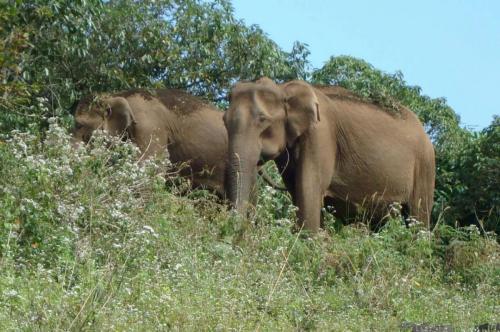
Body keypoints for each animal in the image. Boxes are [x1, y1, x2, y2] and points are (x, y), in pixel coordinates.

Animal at [225, 78, 436, 233]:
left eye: (263, 120)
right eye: (224, 121)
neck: (283, 89)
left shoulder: (321, 135)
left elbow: (309, 189)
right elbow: (298, 192)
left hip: (425, 168)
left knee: (417, 219)